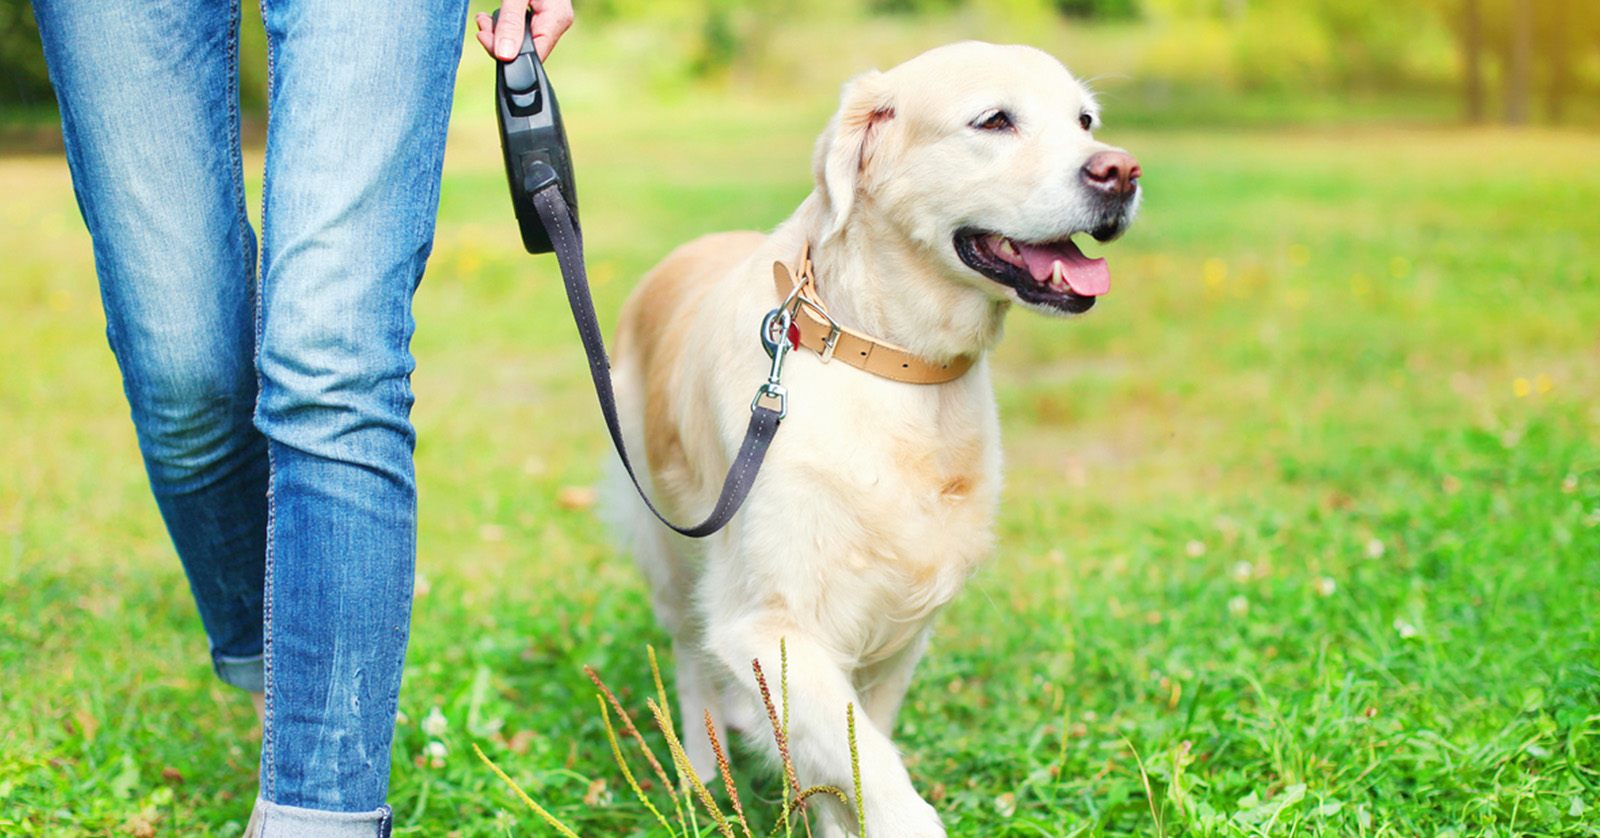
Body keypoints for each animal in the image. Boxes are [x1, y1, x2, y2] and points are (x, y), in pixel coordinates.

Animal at [601, 40, 1139, 838]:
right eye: (995, 120)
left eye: (1085, 121)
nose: (1122, 171)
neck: (890, 359)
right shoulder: (768, 623)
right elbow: (886, 788)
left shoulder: (897, 633)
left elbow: (851, 769)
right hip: (670, 550)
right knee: (691, 660)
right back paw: (700, 777)